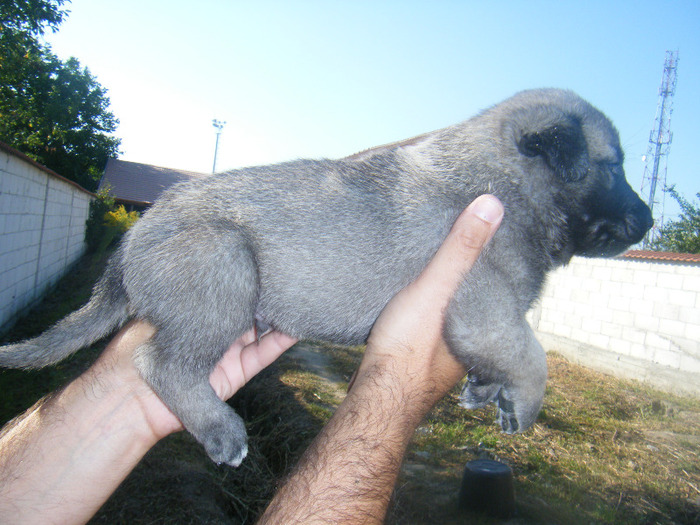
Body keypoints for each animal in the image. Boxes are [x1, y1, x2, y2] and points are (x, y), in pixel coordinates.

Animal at [2, 88, 652, 464]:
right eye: (614, 166)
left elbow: (504, 357)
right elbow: (532, 355)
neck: (505, 183)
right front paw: (525, 403)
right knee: (159, 364)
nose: (648, 220)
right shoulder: (484, 306)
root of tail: (129, 245)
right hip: (222, 268)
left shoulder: (487, 320)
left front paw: (484, 389)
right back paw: (220, 428)